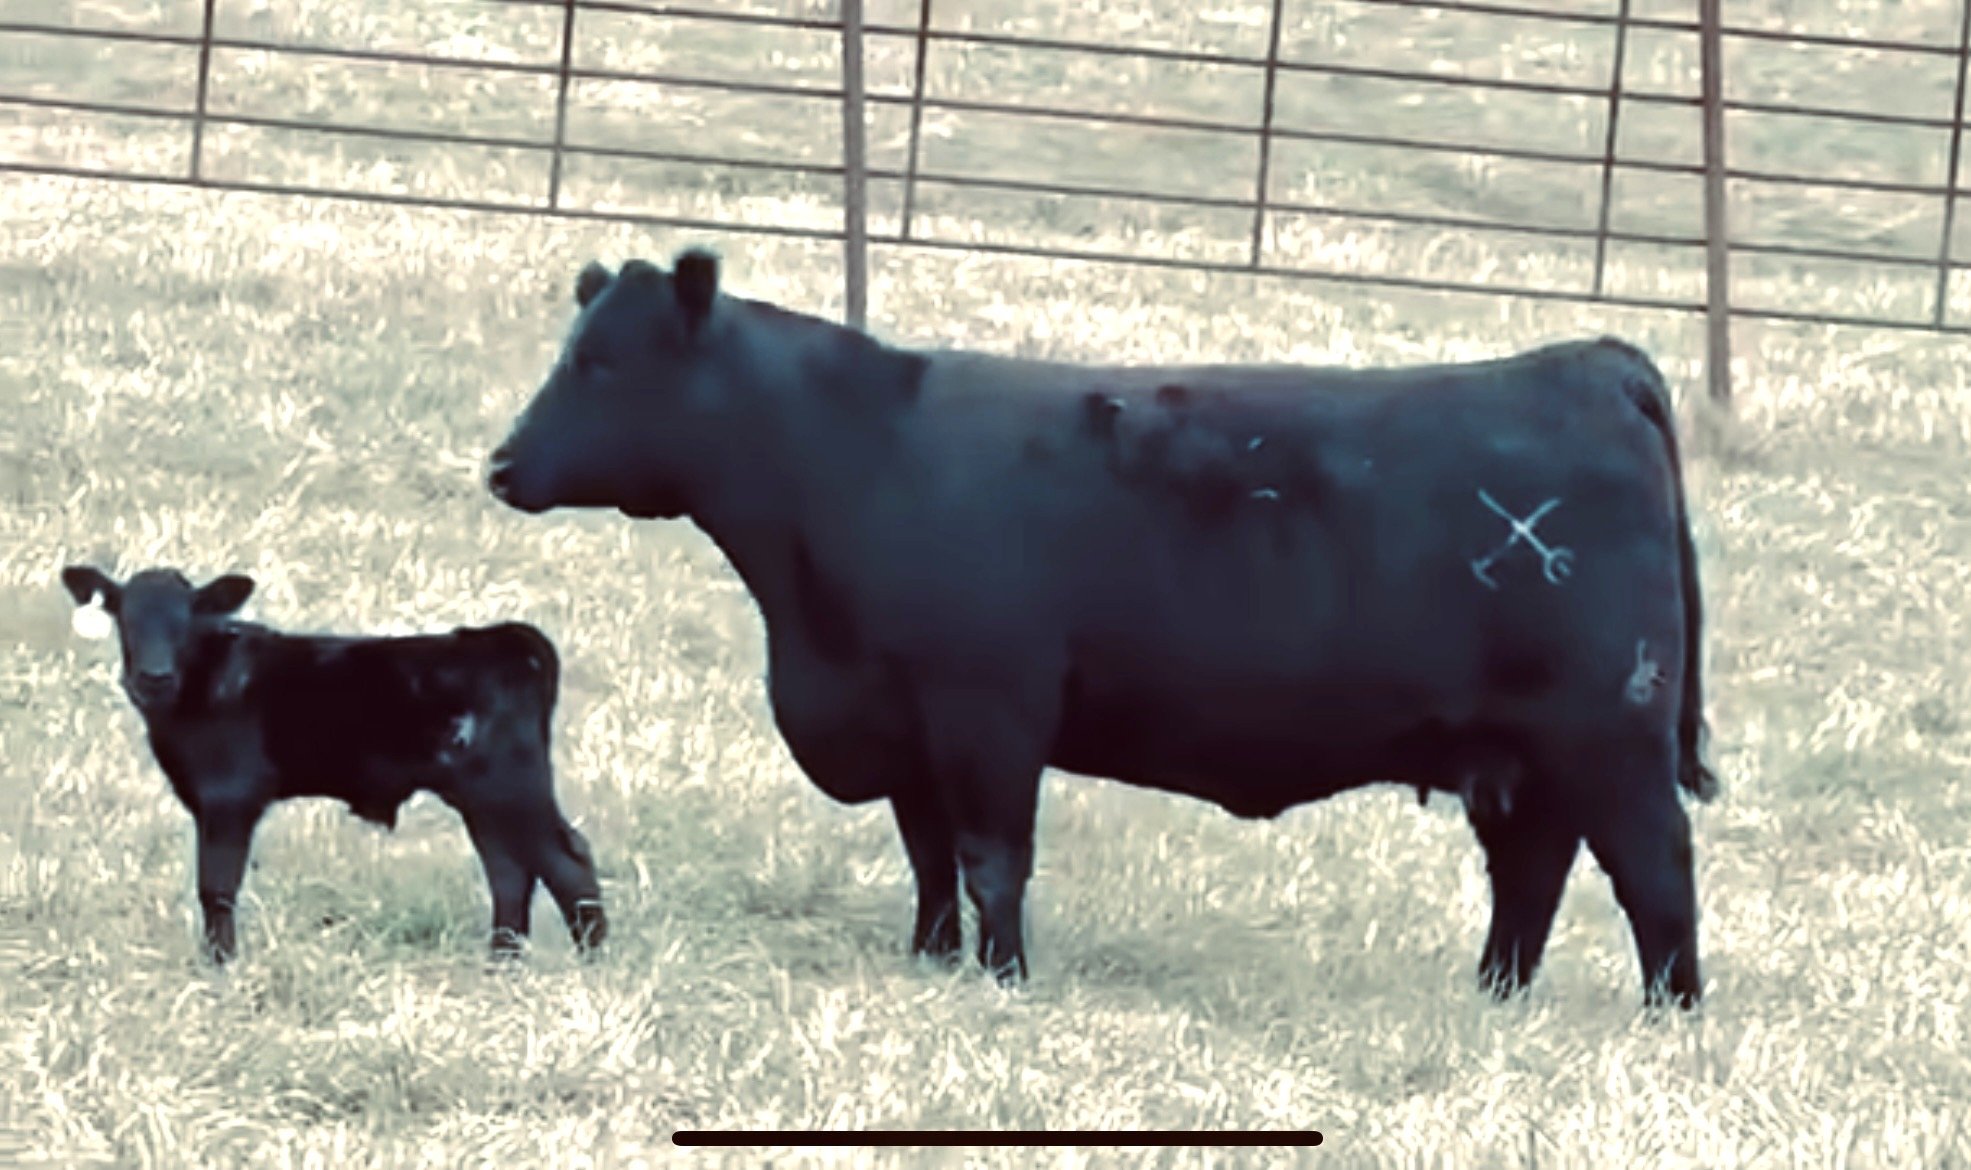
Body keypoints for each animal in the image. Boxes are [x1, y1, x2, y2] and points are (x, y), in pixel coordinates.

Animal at [61, 565, 607, 964]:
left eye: (186, 622)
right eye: (127, 618)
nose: (153, 675)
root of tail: (507, 637)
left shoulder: (229, 798)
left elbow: (216, 887)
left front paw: (220, 965)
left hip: (509, 786)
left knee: (567, 859)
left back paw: (590, 963)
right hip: (484, 799)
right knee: (509, 869)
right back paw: (502, 963)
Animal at [486, 249, 1718, 1008]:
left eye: (603, 363)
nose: (500, 465)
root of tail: (1587, 363)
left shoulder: (988, 711)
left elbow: (991, 858)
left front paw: (1003, 978)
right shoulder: (909, 723)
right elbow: (928, 855)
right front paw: (932, 962)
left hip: (1609, 739)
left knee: (1652, 868)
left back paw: (1671, 1013)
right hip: (1523, 755)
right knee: (1532, 872)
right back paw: (1495, 995)